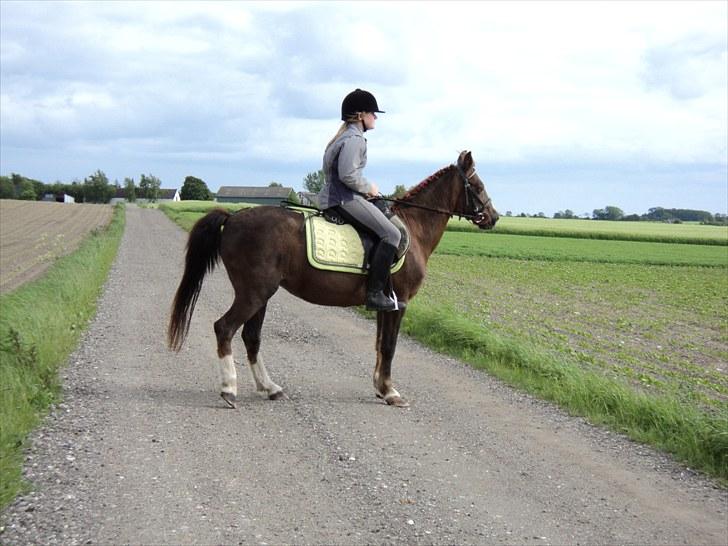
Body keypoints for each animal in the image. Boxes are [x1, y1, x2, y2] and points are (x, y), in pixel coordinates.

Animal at [168, 150, 498, 408]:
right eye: (477, 185)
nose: (493, 217)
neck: (414, 229)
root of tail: (234, 216)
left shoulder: (386, 303)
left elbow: (379, 345)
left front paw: (380, 388)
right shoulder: (400, 303)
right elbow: (389, 347)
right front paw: (391, 392)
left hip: (260, 295)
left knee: (251, 336)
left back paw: (270, 388)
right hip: (253, 293)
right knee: (224, 328)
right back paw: (229, 390)